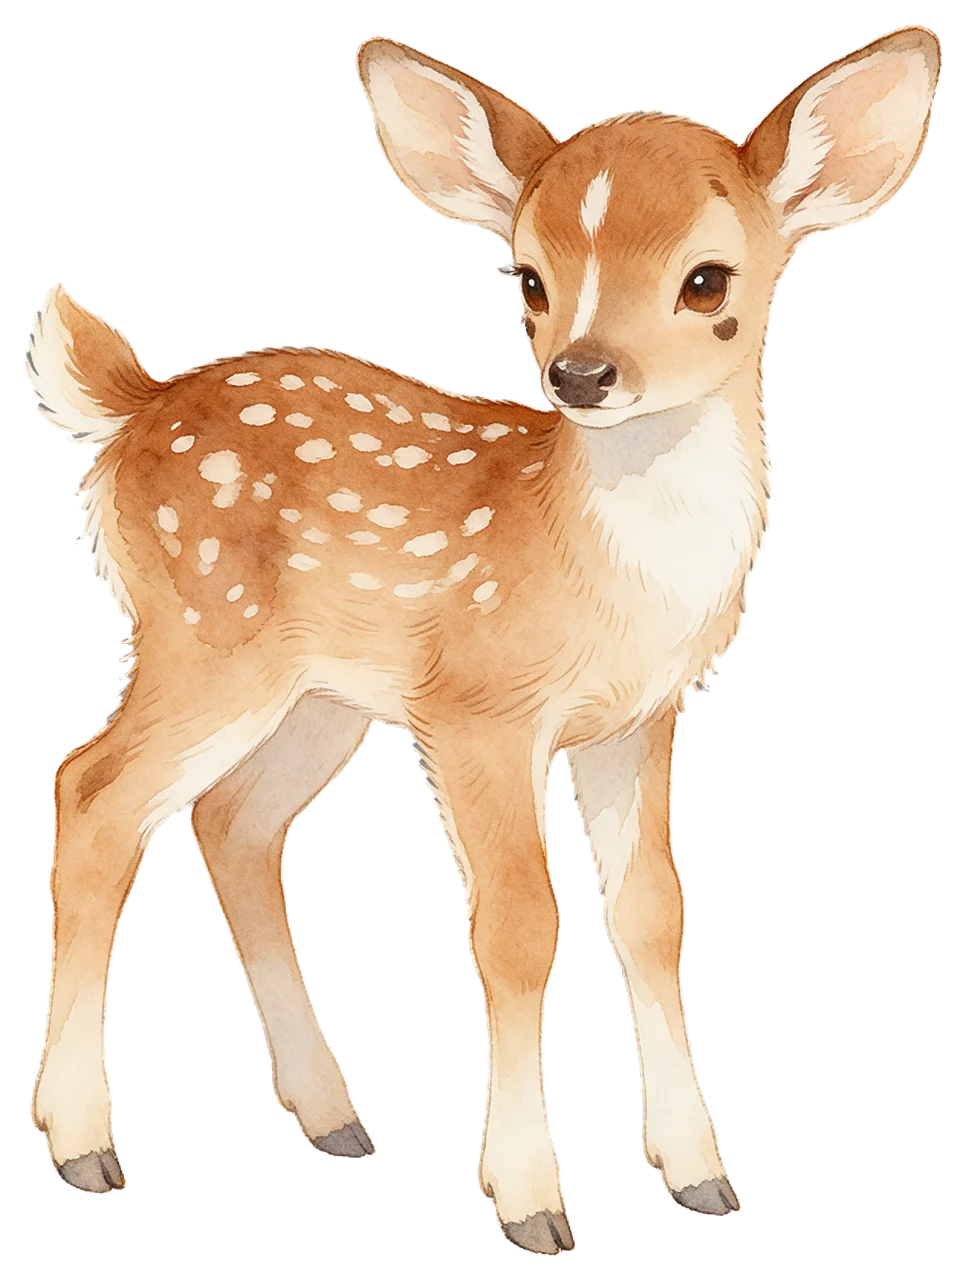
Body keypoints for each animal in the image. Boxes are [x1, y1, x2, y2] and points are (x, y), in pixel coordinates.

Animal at [26, 26, 940, 1252]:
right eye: (528, 279)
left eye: (708, 279)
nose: (581, 373)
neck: (603, 572)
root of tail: (127, 412)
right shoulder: (478, 710)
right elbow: (517, 926)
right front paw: (530, 1201)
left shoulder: (639, 720)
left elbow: (652, 916)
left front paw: (700, 1175)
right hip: (204, 633)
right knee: (93, 792)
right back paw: (84, 1147)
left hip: (320, 694)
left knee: (232, 822)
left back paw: (334, 1118)